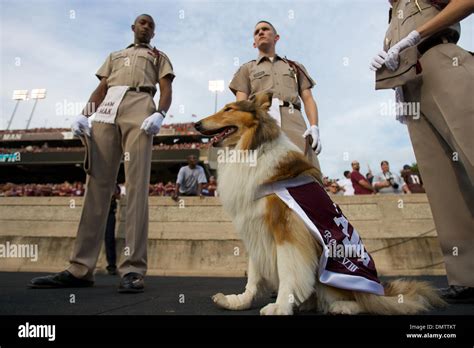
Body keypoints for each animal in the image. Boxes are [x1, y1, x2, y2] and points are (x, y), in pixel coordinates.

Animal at [193, 92, 444, 316]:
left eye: (229, 109)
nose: (195, 124)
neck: (253, 148)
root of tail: (379, 291)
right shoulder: (255, 227)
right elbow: (254, 274)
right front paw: (239, 302)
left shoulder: (287, 228)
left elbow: (287, 270)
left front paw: (281, 306)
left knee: (367, 303)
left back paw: (342, 306)